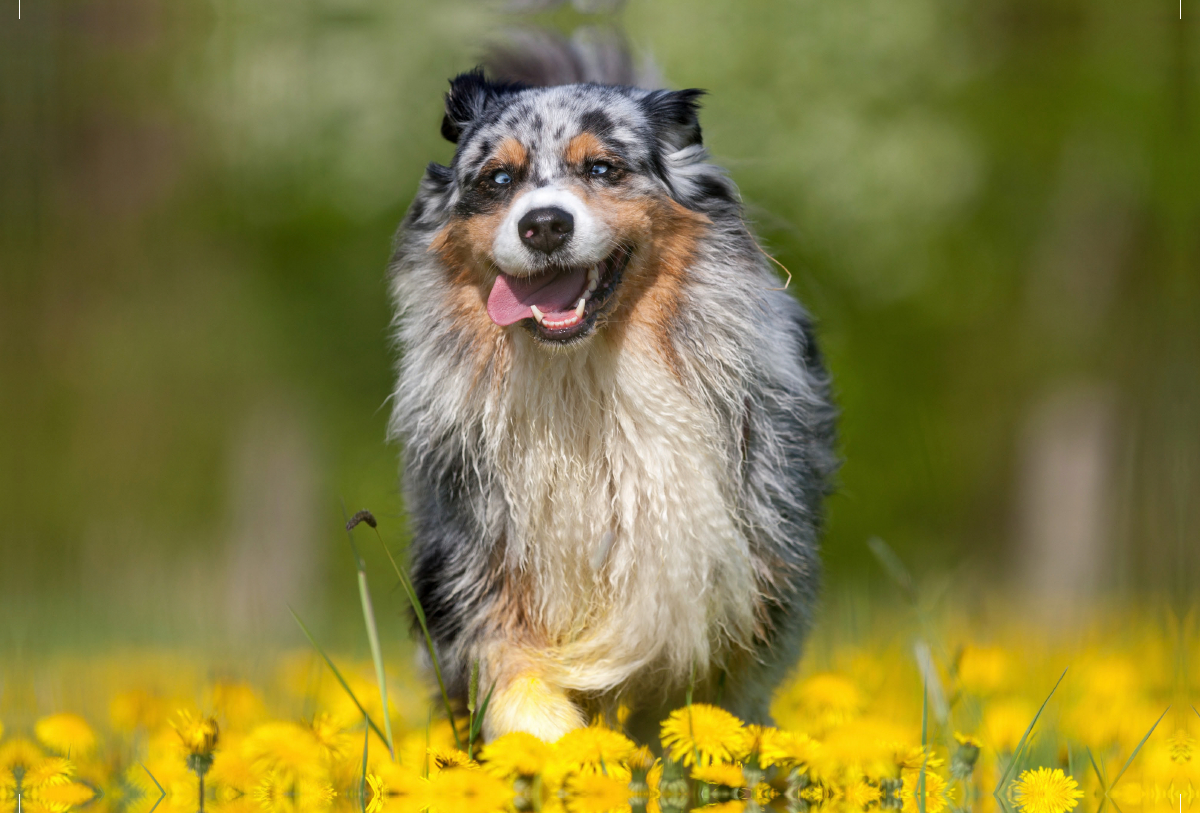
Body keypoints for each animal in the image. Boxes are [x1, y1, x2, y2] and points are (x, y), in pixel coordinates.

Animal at [388, 42, 840, 743]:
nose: (544, 225)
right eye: (497, 180)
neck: (581, 383)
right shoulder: (475, 574)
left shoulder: (733, 584)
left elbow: (702, 706)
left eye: (602, 168)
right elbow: (524, 696)